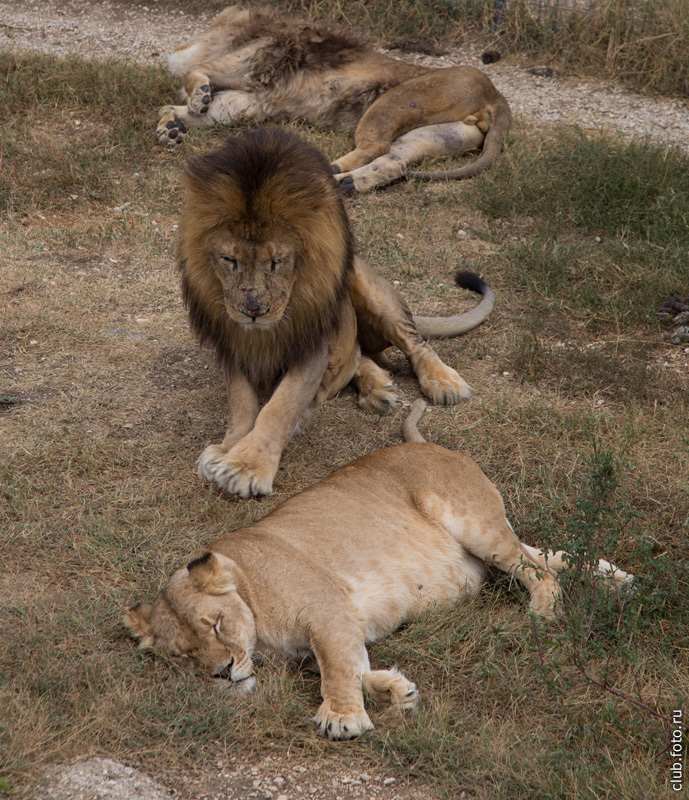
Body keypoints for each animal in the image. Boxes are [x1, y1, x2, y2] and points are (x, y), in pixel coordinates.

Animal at [126, 404, 632, 740]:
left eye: (215, 624)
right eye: (185, 655)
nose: (222, 672)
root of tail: (428, 444)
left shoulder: (327, 611)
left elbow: (336, 668)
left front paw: (342, 718)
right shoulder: (332, 633)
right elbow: (353, 665)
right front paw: (396, 690)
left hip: (476, 526)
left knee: (536, 567)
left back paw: (544, 609)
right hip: (489, 540)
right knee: (545, 554)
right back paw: (618, 578)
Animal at [157, 5, 510, 192]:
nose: (178, 46)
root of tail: (495, 94)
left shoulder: (256, 64)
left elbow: (197, 71)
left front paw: (194, 98)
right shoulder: (249, 102)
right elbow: (186, 106)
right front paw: (171, 126)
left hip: (392, 102)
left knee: (374, 146)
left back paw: (327, 170)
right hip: (435, 134)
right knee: (392, 161)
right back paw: (345, 182)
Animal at [175, 128, 492, 496]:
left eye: (276, 261)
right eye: (230, 260)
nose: (253, 310)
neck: (264, 332)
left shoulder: (311, 348)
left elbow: (280, 407)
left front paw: (246, 467)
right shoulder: (233, 345)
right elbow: (242, 404)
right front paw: (228, 449)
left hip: (365, 286)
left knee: (415, 344)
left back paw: (443, 383)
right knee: (358, 354)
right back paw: (377, 389)